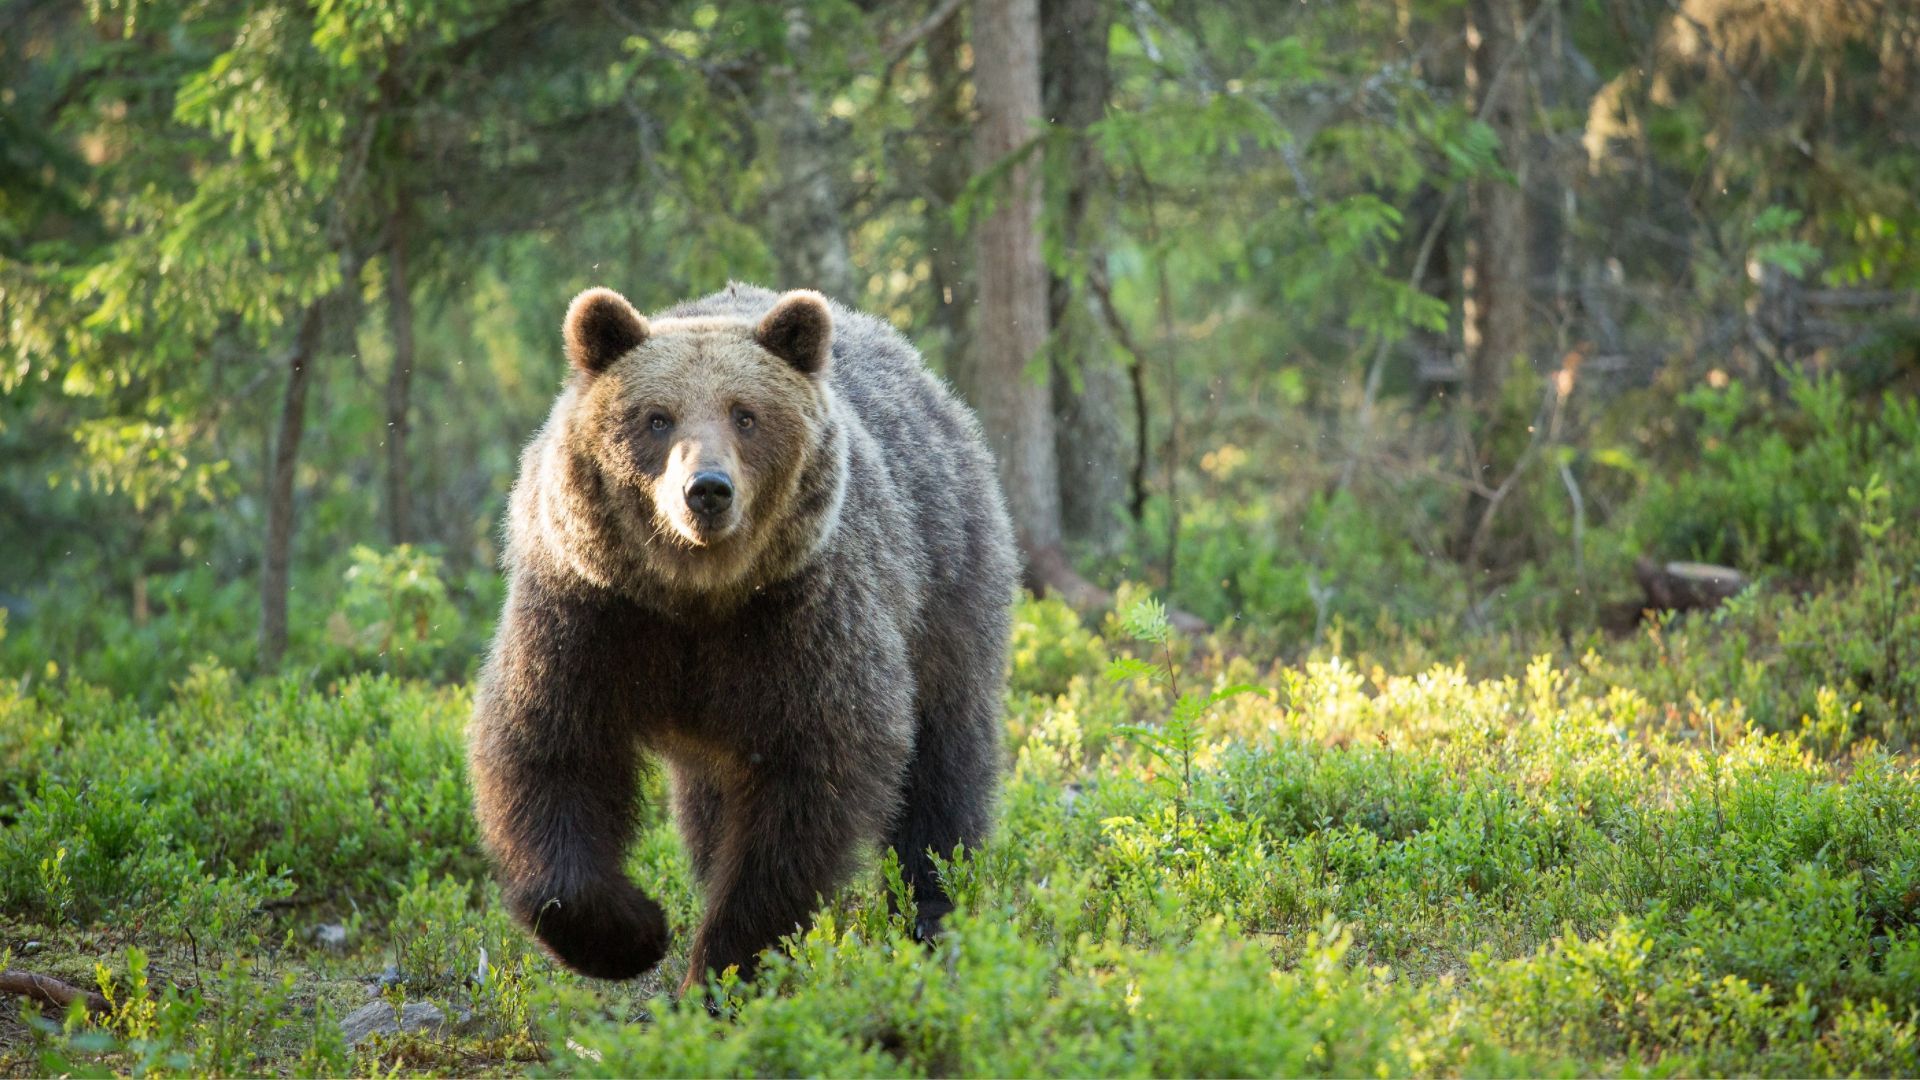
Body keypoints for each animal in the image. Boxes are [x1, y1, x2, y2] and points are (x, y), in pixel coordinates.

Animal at [467, 282, 1018, 991]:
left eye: (745, 415)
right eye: (657, 417)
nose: (706, 490)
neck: (696, 597)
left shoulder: (801, 620)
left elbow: (806, 789)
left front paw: (722, 968)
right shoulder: (590, 613)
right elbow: (549, 751)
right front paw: (633, 932)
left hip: (944, 582)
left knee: (944, 760)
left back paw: (933, 911)